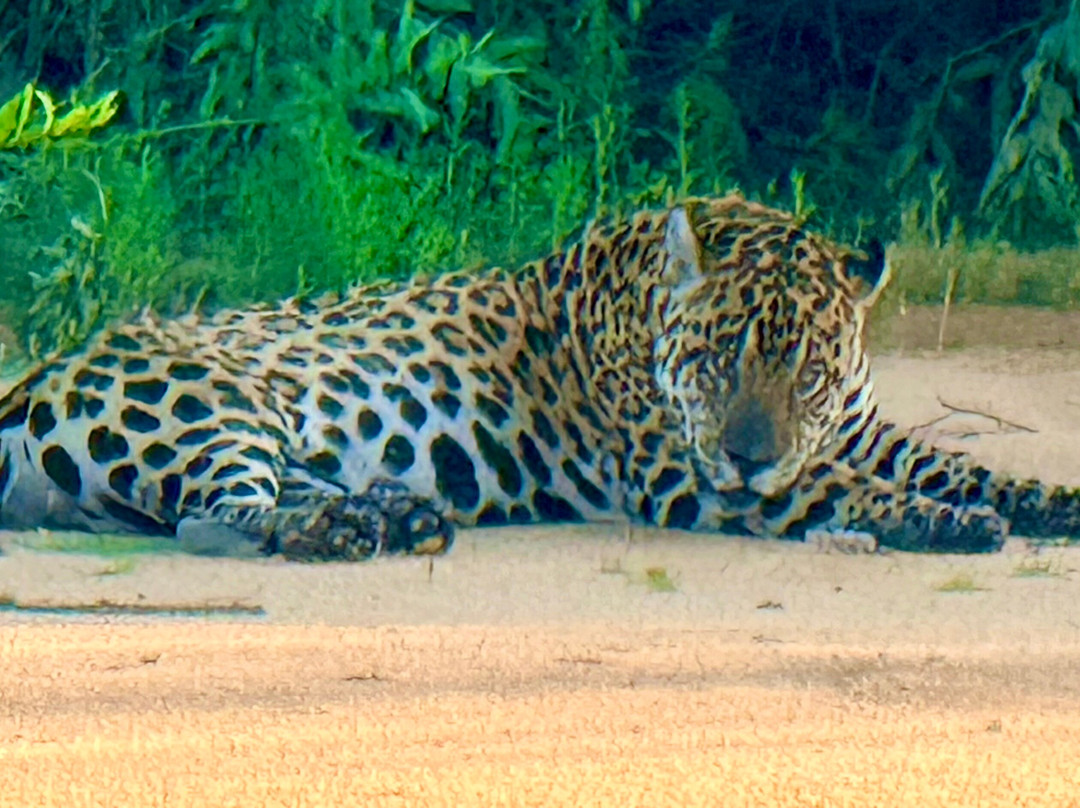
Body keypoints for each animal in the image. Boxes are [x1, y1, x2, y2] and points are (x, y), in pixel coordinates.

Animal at [2, 192, 1079, 561]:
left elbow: (953, 463)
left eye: (807, 373)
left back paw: (395, 515)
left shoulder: (858, 428)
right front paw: (948, 526)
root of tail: (30, 378)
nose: (747, 456)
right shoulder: (680, 473)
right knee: (214, 518)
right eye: (717, 361)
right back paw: (343, 533)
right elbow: (842, 489)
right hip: (208, 404)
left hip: (266, 436)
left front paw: (1044, 501)